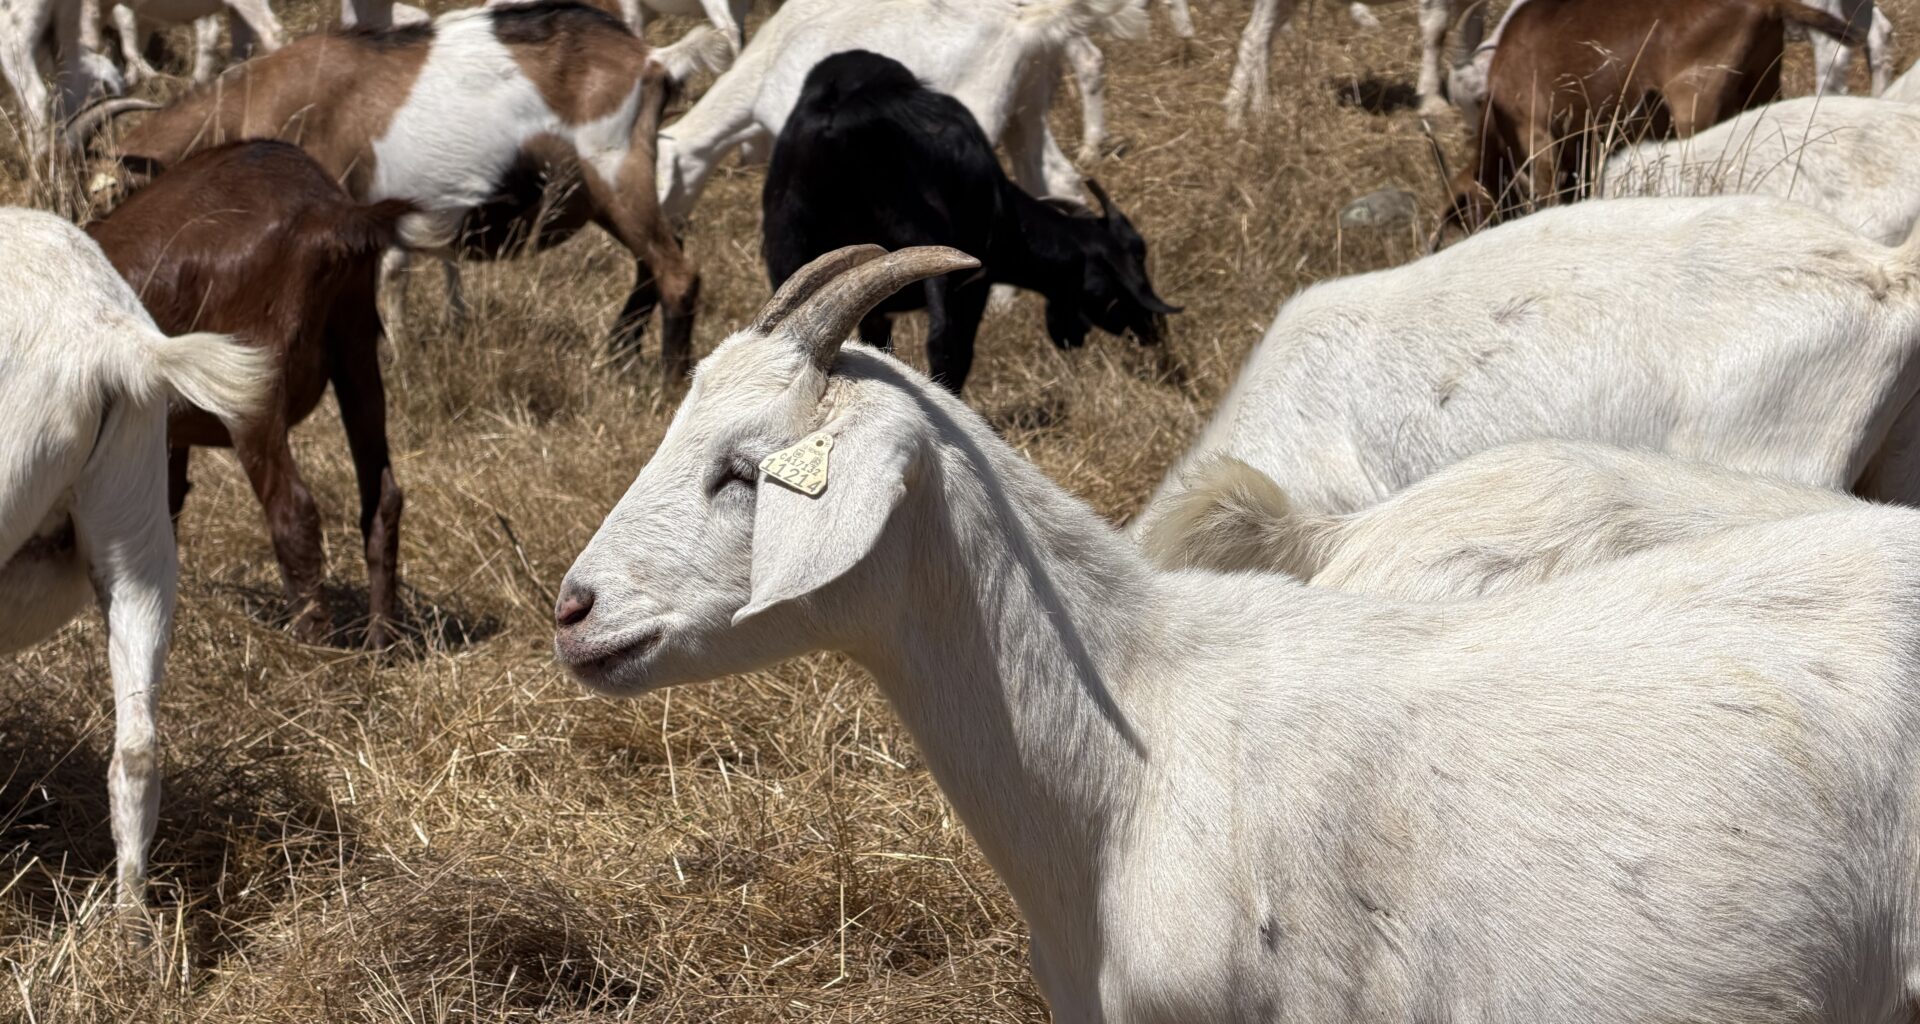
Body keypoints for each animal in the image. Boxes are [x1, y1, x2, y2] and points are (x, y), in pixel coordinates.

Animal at [87, 141, 411, 648]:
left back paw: (311, 644)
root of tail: (331, 213)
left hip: (252, 394)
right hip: (357, 348)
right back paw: (381, 642)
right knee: (383, 498)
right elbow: (165, 505)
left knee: (294, 509)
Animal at [105, 3, 727, 378]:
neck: (272, 102)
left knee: (677, 272)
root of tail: (652, 59)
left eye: (110, 196)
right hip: (609, 193)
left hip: (614, 170)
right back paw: (617, 359)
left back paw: (669, 380)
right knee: (652, 263)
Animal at [762, 51, 1176, 393]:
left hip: (789, 252)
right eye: (1127, 273)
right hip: (941, 262)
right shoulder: (972, 280)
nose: (1154, 333)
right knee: (945, 347)